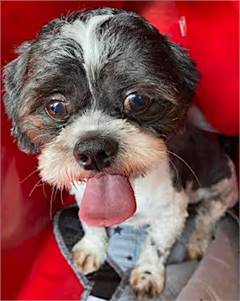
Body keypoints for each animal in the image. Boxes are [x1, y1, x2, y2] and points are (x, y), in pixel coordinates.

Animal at [3, 7, 238, 298]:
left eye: (138, 100)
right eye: (55, 107)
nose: (93, 149)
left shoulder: (171, 211)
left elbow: (156, 244)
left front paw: (148, 273)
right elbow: (90, 222)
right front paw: (92, 248)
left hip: (225, 187)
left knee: (209, 213)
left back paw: (199, 239)